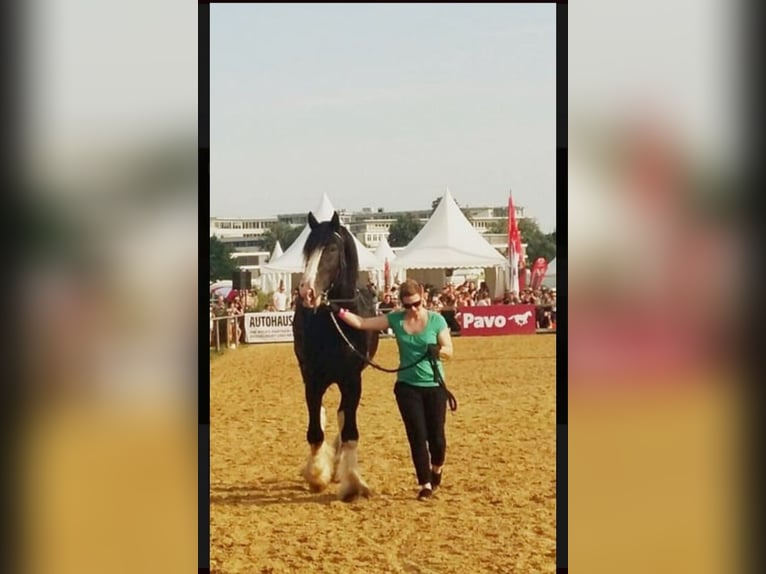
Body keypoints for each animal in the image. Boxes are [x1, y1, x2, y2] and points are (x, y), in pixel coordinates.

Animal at [292, 212, 380, 504]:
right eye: (307, 249)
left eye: (331, 249)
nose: (306, 292)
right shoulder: (313, 380)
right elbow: (315, 431)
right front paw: (317, 475)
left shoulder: (352, 380)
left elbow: (350, 431)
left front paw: (353, 483)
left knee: (343, 417)